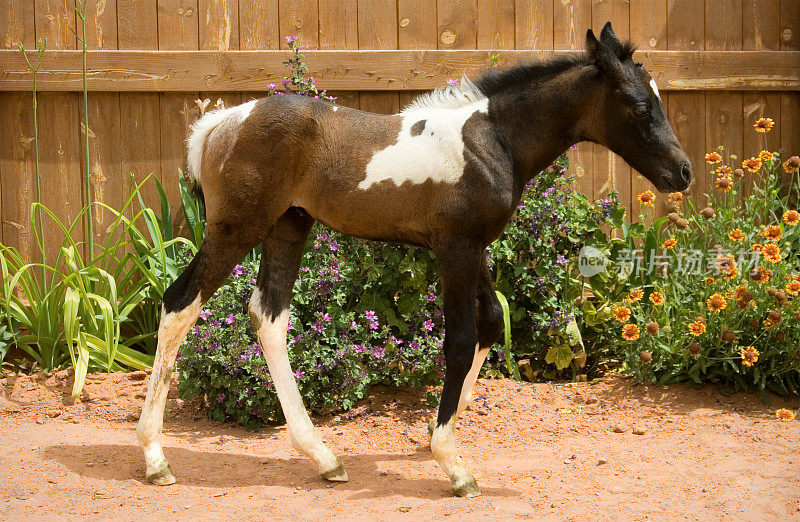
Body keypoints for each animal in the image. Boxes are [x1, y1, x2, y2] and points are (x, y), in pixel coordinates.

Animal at [134, 23, 692, 496]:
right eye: (639, 105)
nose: (683, 172)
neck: (491, 140)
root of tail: (220, 125)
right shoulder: (455, 249)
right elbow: (462, 339)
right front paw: (452, 462)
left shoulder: (473, 248)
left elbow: (493, 321)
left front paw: (434, 430)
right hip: (237, 229)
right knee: (180, 303)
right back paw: (156, 458)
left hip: (287, 229)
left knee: (268, 317)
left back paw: (323, 457)